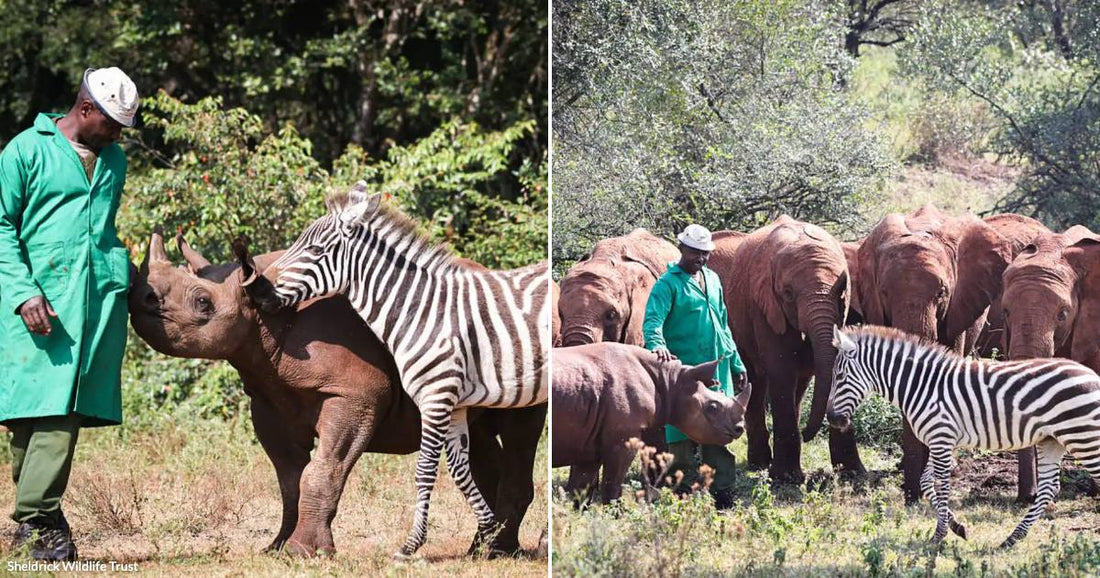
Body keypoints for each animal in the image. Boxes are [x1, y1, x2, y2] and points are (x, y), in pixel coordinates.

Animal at [127, 230, 546, 557]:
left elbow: (322, 468)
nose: (138, 298)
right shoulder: (267, 398)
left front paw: (304, 552)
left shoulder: (356, 393)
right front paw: (277, 548)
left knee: (520, 432)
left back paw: (502, 551)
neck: (265, 313)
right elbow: (290, 479)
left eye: (202, 303)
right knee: (478, 435)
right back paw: (484, 549)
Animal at [261, 183, 550, 559]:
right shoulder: (455, 404)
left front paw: (411, 545)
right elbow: (459, 471)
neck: (420, 311)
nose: (259, 290)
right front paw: (488, 533)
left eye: (313, 249)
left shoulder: (436, 396)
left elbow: (425, 470)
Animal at [551, 342, 750, 503]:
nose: (740, 429)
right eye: (713, 407)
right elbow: (612, 484)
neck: (671, 380)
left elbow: (581, 491)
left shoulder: (587, 444)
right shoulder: (622, 437)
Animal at [708, 215, 864, 483]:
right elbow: (781, 369)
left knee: (797, 384)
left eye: (841, 291)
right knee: (756, 381)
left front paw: (853, 474)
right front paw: (786, 478)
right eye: (788, 293)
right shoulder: (764, 305)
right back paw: (760, 463)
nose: (808, 434)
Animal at [826, 324, 1100, 549]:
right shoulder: (941, 440)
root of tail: (1091, 374)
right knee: (1048, 488)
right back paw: (1011, 539)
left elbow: (942, 486)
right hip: (1051, 440)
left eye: (839, 377)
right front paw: (957, 527)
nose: (832, 419)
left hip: (1084, 438)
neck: (922, 386)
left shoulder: (941, 438)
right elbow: (926, 482)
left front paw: (938, 537)